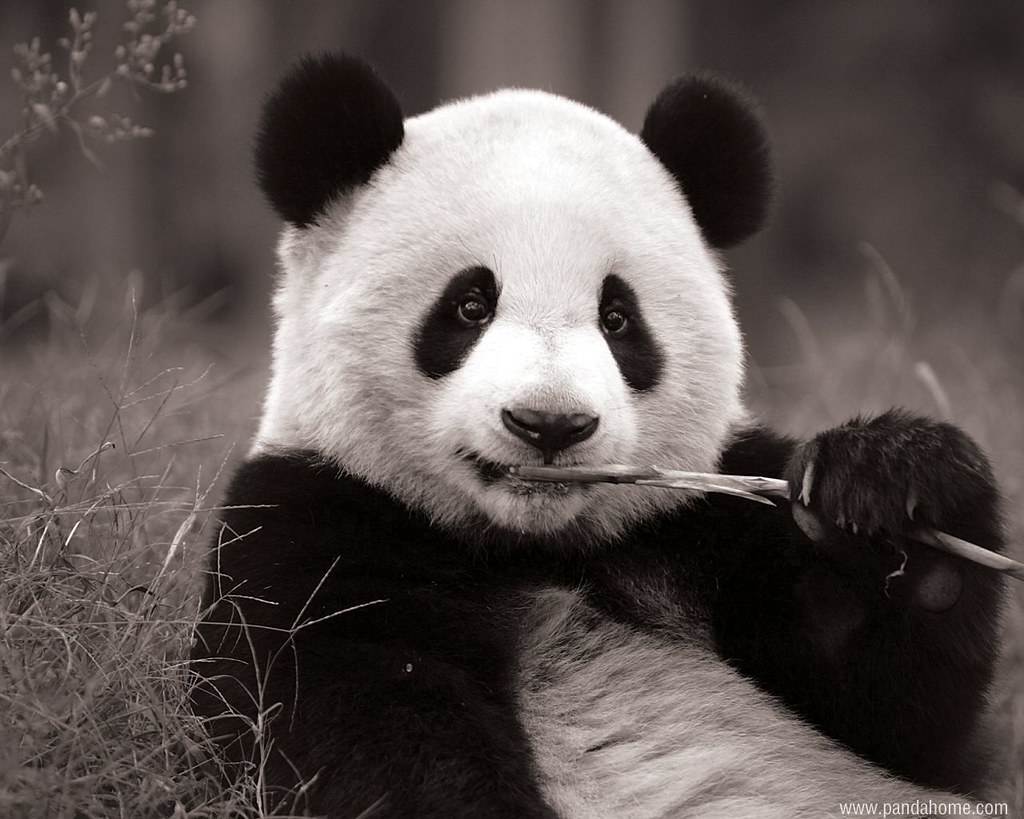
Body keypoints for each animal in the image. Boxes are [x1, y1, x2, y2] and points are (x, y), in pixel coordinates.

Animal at [191, 53, 1007, 818]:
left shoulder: (703, 521)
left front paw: (891, 494)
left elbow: (903, 719)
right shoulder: (313, 521)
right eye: (469, 305)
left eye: (618, 318)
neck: (531, 543)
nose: (549, 423)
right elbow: (347, 722)